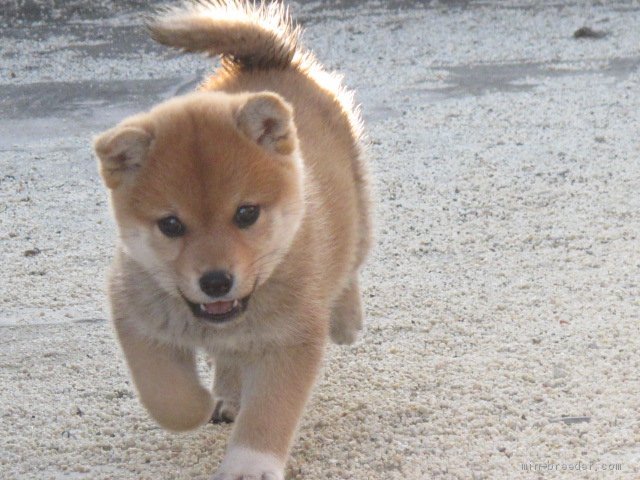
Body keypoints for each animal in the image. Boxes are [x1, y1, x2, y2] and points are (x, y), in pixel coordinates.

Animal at [90, 1, 370, 478]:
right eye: (171, 224)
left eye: (246, 213)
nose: (216, 282)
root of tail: (267, 62)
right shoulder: (136, 315)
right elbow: (167, 397)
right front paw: (198, 404)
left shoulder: (291, 340)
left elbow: (269, 412)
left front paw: (249, 466)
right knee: (231, 358)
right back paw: (226, 394)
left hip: (358, 209)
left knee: (351, 258)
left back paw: (346, 318)